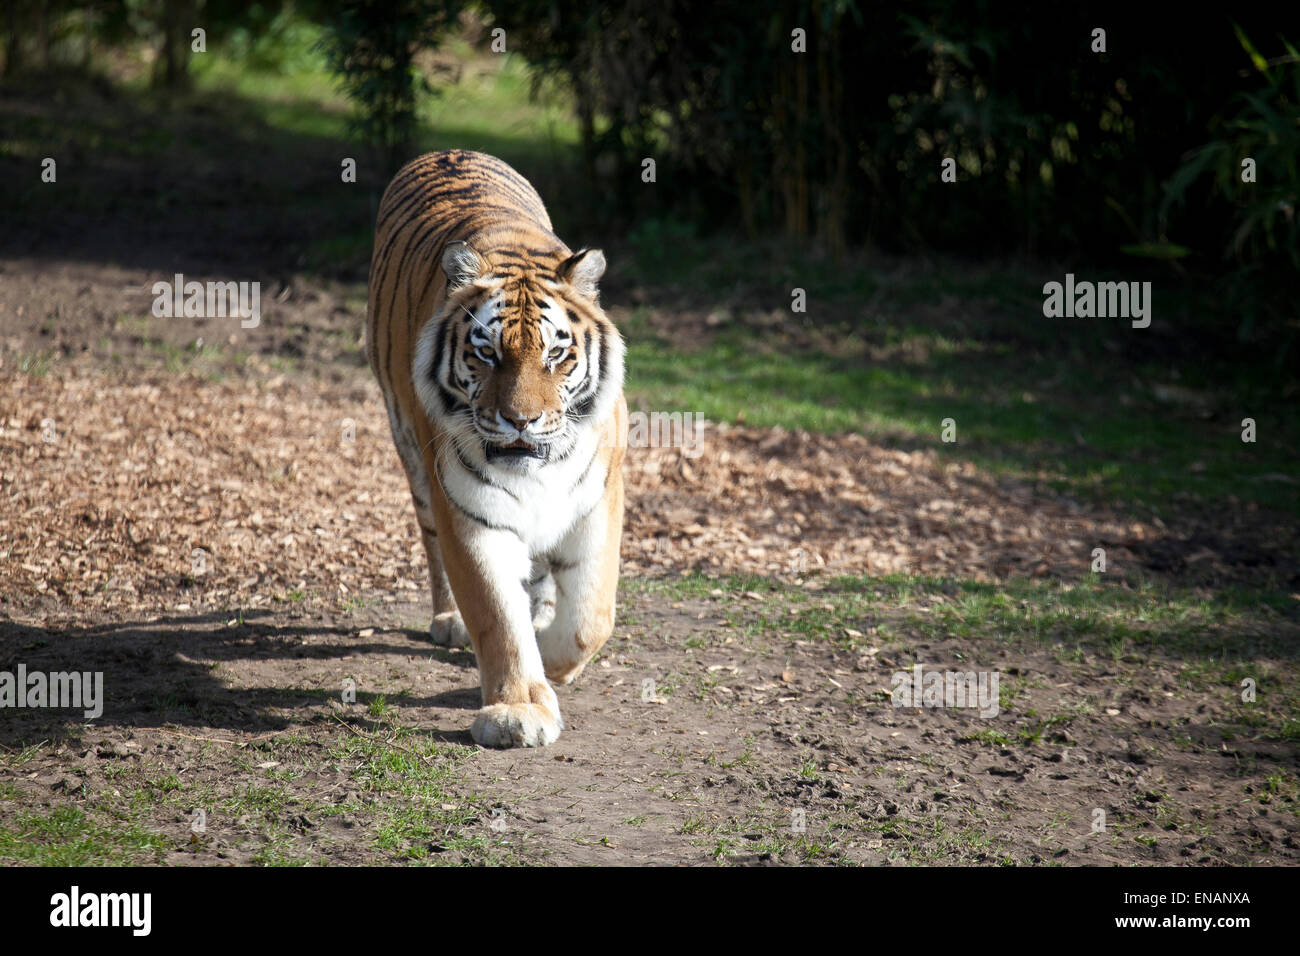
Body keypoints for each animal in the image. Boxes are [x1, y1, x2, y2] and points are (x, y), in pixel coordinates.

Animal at [366, 147, 629, 749]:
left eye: (556, 354)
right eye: (486, 353)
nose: (520, 420)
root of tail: (450, 150)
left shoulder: (598, 501)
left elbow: (591, 617)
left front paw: (554, 661)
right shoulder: (469, 514)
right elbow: (497, 615)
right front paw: (519, 710)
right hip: (411, 453)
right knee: (433, 543)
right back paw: (450, 622)